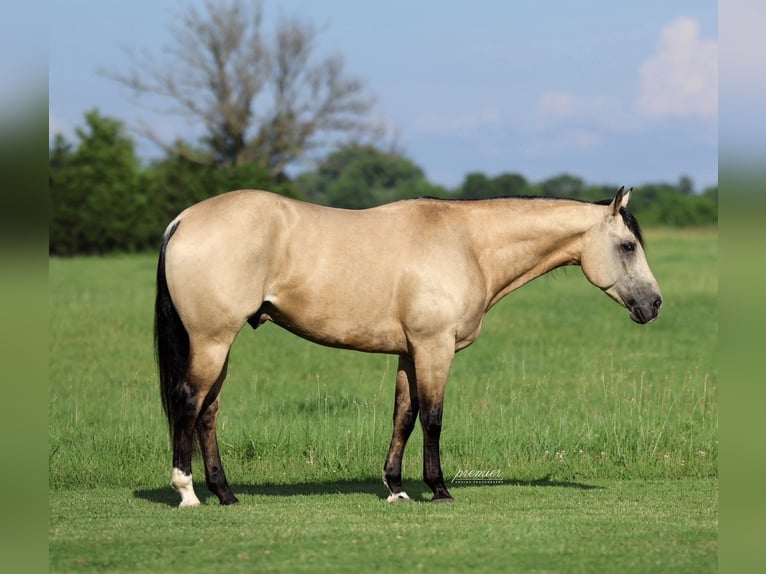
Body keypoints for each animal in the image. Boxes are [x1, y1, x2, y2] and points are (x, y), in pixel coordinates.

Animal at [154, 186, 662, 508]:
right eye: (627, 245)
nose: (654, 304)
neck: (468, 244)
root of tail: (182, 221)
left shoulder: (408, 353)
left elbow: (404, 415)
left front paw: (396, 488)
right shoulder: (434, 348)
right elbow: (433, 418)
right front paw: (438, 489)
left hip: (220, 344)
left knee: (208, 413)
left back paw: (226, 494)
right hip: (213, 340)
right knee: (189, 403)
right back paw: (188, 493)